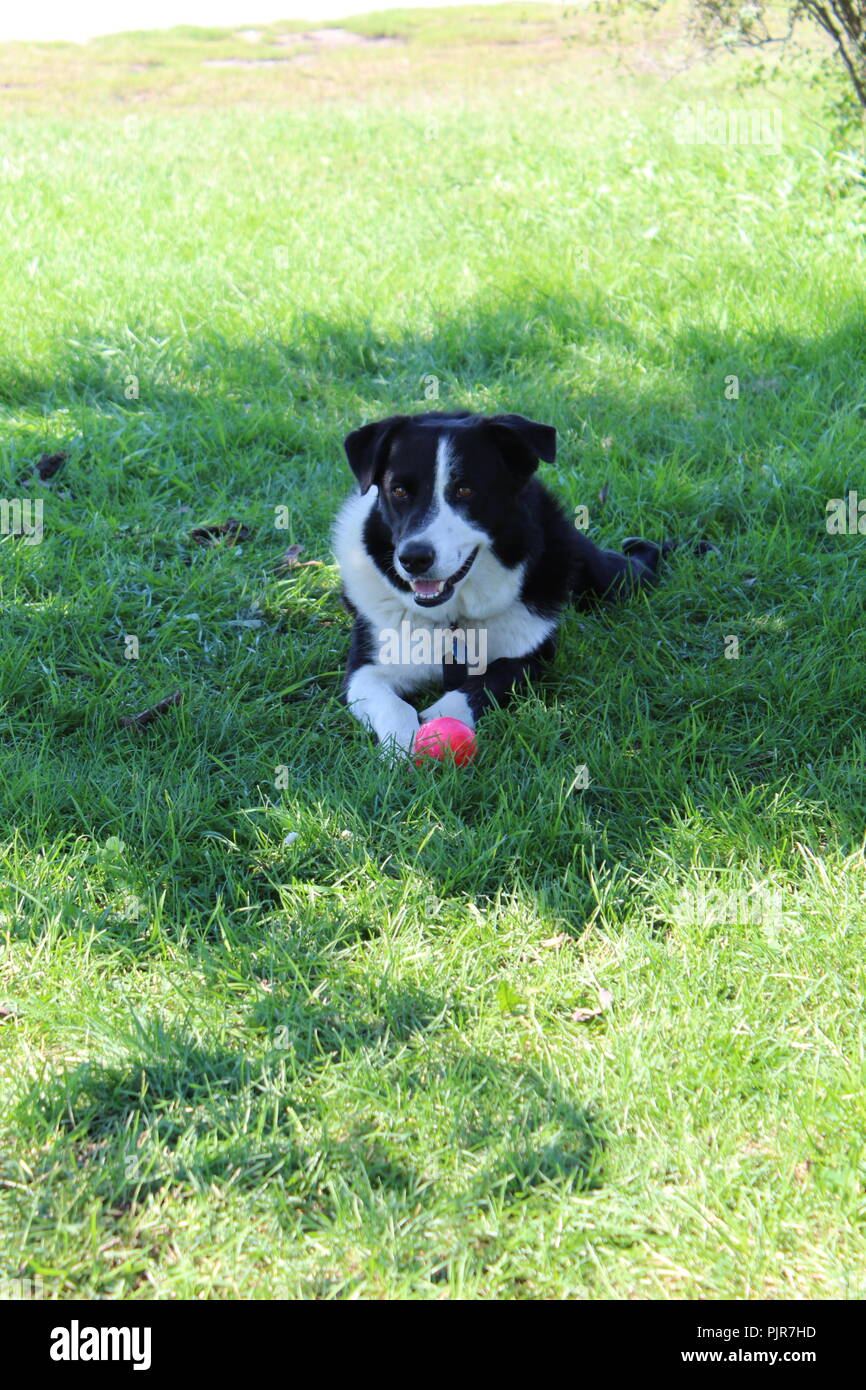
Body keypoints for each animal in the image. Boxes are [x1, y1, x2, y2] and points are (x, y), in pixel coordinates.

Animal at [332, 411, 664, 761]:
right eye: (398, 491)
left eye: (465, 490)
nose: (414, 558)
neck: (453, 620)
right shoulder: (364, 671)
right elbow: (394, 706)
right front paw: (401, 748)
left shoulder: (534, 656)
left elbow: (484, 683)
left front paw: (435, 723)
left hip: (614, 579)